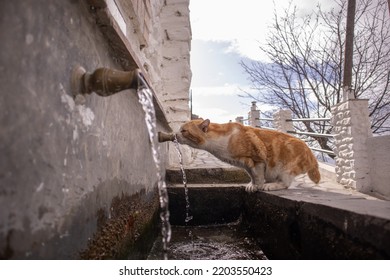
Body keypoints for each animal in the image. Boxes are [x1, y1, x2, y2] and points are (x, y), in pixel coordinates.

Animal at [177, 118, 320, 192]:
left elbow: (258, 175)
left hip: (286, 169)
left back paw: (271, 185)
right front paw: (252, 185)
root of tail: (311, 154)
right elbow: (252, 175)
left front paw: (258, 186)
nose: (175, 134)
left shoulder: (257, 159)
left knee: (286, 184)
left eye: (183, 131)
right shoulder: (245, 164)